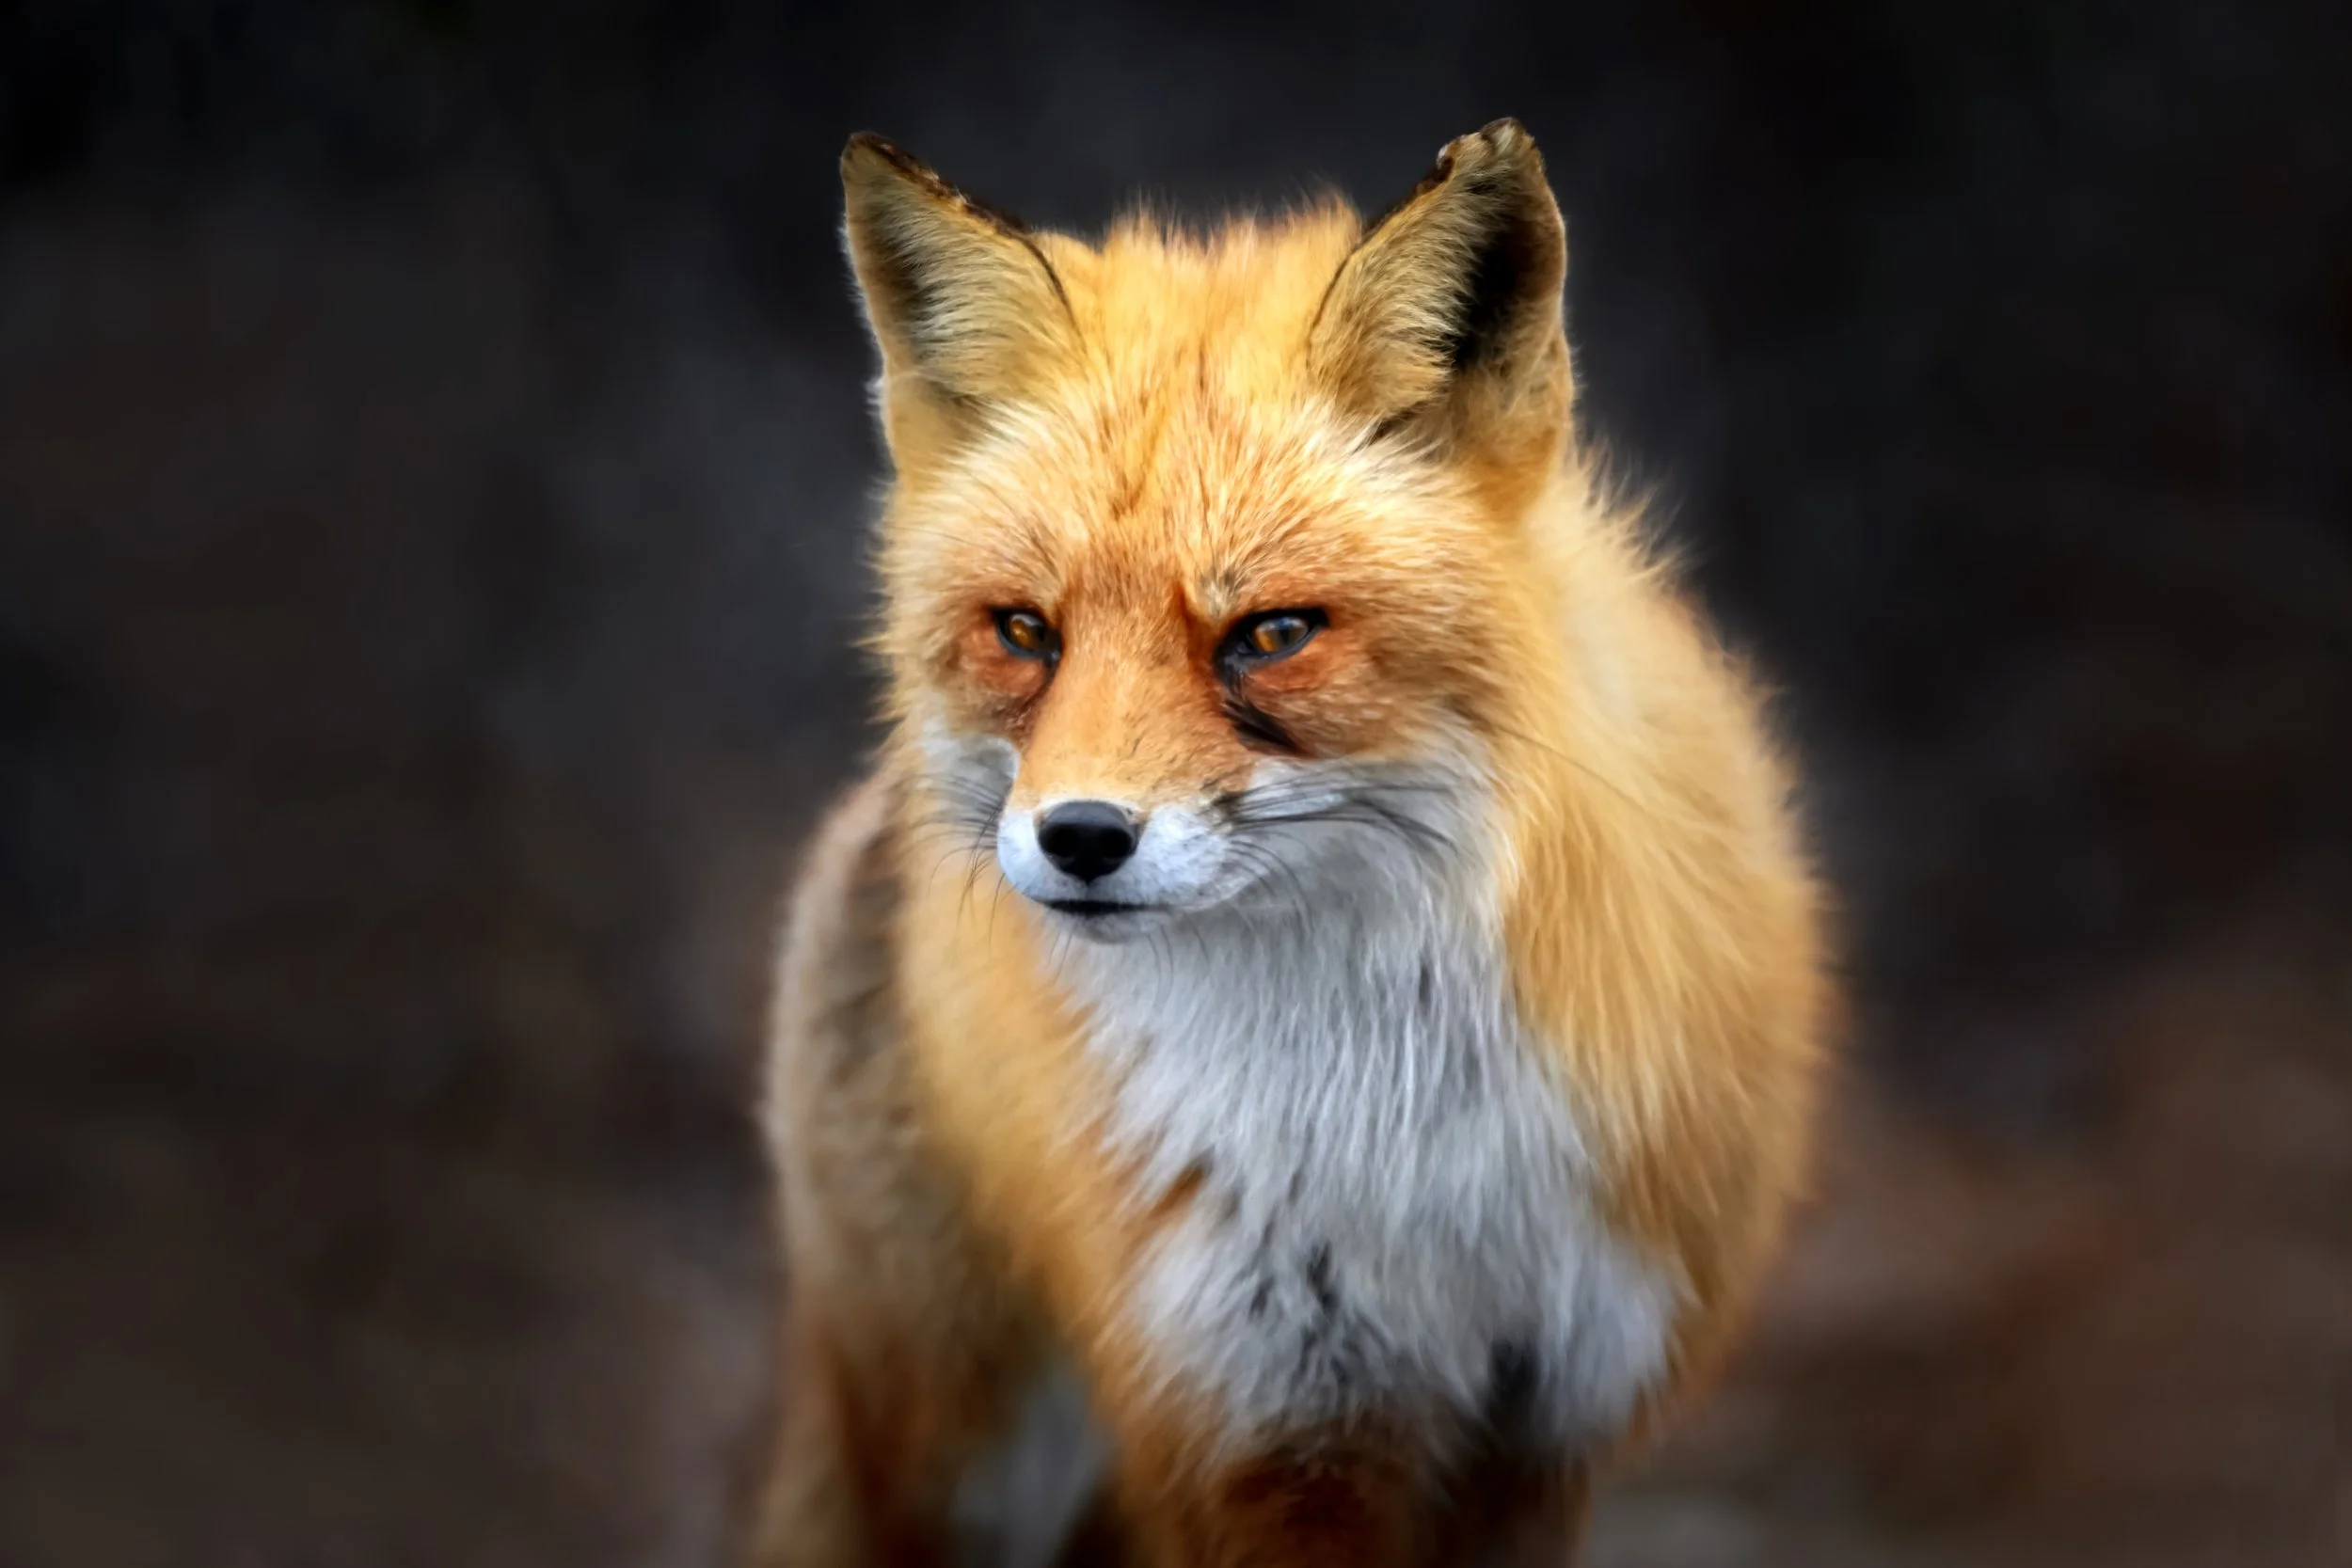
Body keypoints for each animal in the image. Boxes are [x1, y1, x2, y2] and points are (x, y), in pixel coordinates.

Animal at [755, 119, 1831, 1567]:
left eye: (1268, 634)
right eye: (1027, 632)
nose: (1077, 835)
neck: (1398, 1121)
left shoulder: (1540, 1424)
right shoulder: (1257, 1413)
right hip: (954, 1443)